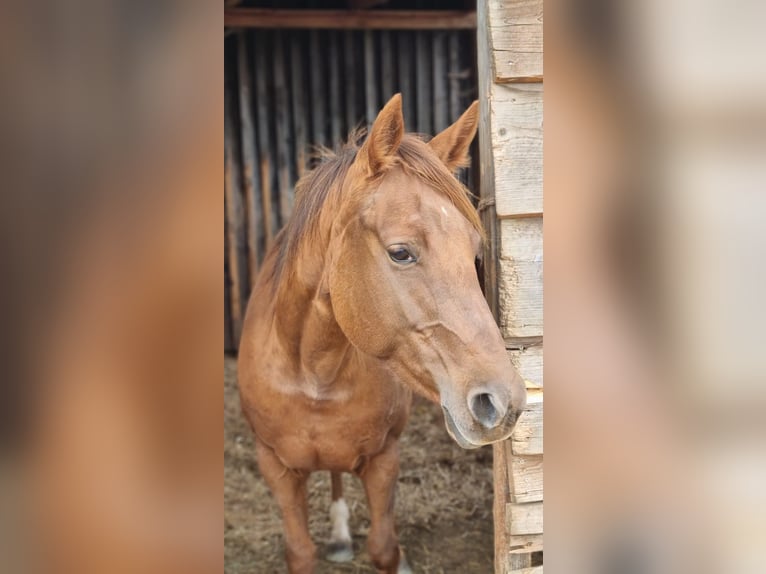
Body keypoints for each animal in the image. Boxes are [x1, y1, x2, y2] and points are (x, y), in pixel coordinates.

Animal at [240, 95, 528, 574]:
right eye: (400, 253)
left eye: (475, 253)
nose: (503, 404)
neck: (314, 375)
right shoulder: (275, 468)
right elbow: (300, 553)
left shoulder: (383, 460)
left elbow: (384, 549)